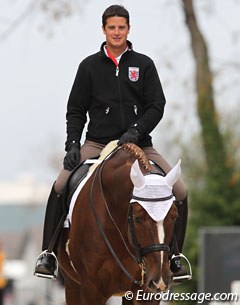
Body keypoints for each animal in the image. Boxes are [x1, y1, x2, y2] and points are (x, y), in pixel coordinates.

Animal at [57, 142, 180, 304]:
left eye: (175, 217)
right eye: (137, 219)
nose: (159, 280)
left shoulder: (146, 292)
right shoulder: (92, 289)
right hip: (72, 285)